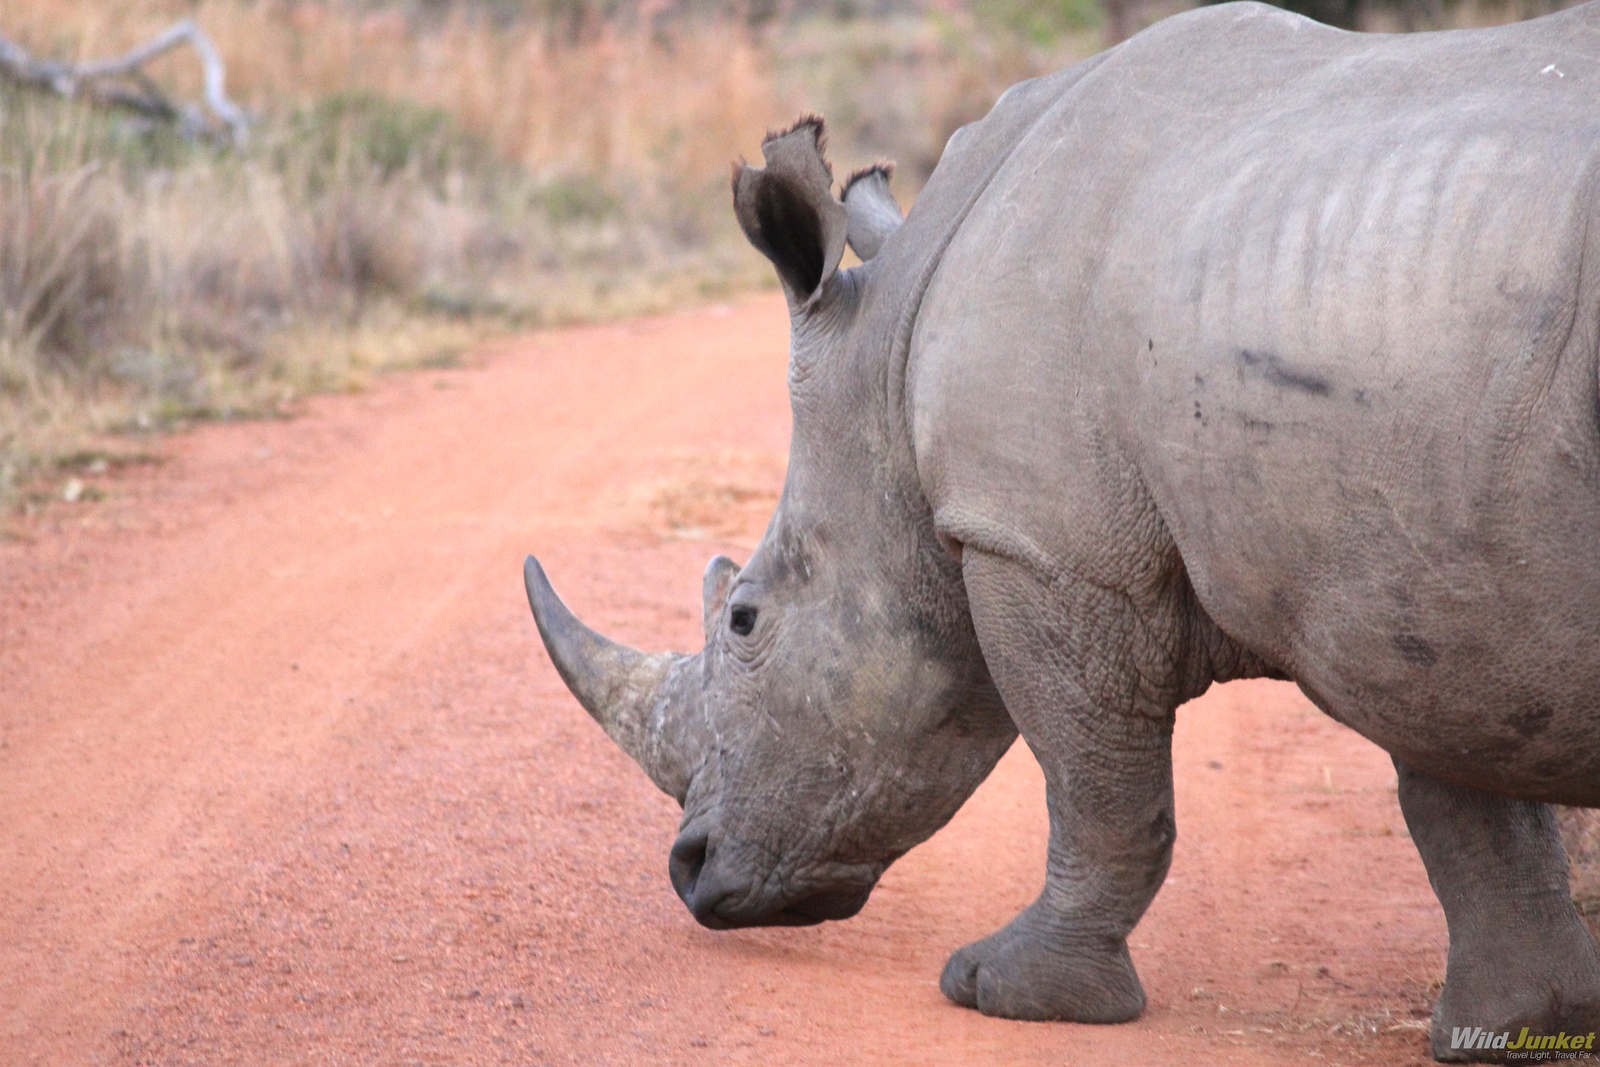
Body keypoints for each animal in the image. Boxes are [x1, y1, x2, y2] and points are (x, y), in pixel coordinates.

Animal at [523, 3, 1600, 1061]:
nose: (690, 869)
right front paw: (1513, 1024)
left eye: (745, 618)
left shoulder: (1039, 541)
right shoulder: (1416, 568)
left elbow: (1096, 781)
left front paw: (1004, 990)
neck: (891, 362)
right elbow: (1459, 788)